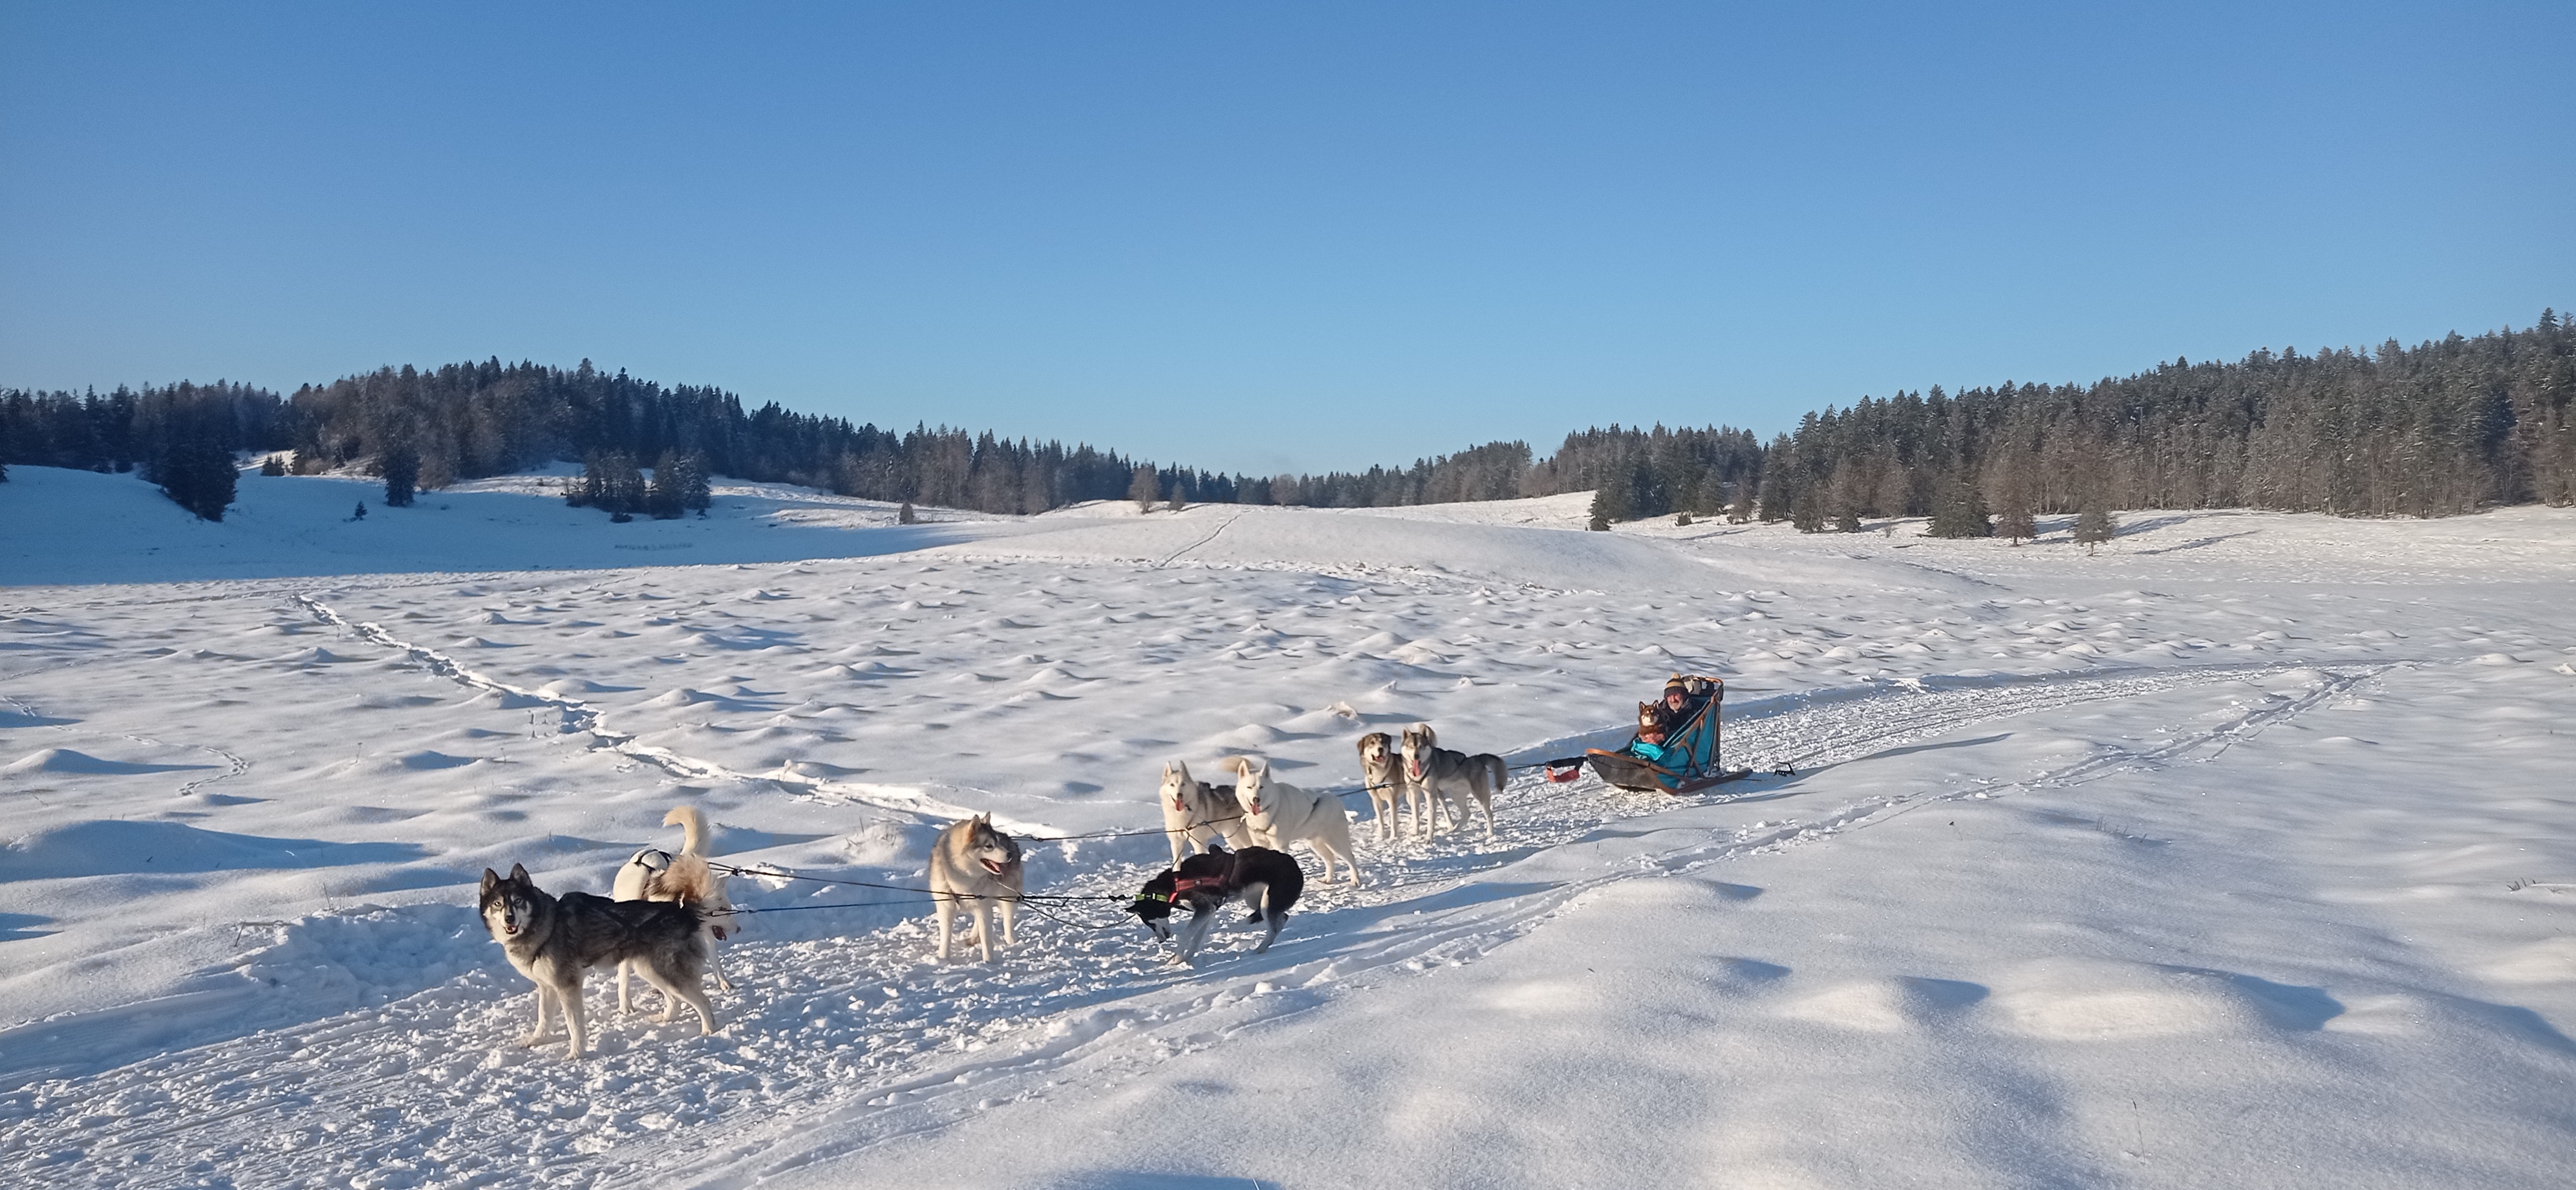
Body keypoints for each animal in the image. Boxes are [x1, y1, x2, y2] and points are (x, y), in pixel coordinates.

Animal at [1138, 839, 1308, 963]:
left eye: (1150, 922)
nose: (1160, 941)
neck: (1174, 884)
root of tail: (1294, 865)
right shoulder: (1208, 912)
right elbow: (1195, 939)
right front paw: (1187, 958)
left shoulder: (1204, 909)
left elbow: (1186, 935)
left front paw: (1175, 959)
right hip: (1256, 901)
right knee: (1282, 917)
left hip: (1266, 903)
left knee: (1273, 928)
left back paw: (1260, 948)